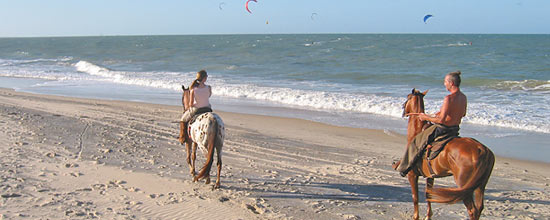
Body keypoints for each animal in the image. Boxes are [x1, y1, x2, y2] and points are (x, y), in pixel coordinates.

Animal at [404, 89, 498, 220]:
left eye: (407, 97)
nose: (403, 109)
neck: (417, 131)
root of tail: (482, 149)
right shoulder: (430, 176)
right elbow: (428, 196)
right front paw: (428, 216)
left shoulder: (412, 175)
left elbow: (415, 198)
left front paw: (416, 216)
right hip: (480, 185)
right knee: (479, 208)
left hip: (464, 185)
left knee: (472, 210)